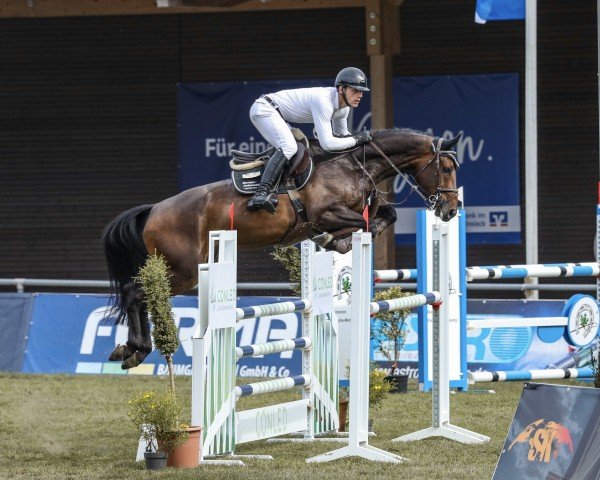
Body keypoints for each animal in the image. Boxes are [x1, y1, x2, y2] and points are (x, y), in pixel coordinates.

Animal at [103, 127, 462, 368]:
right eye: (446, 168)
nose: (450, 211)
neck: (353, 166)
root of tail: (154, 210)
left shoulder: (359, 210)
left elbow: (384, 216)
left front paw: (337, 240)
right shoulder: (324, 213)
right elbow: (358, 225)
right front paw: (335, 240)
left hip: (179, 269)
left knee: (141, 294)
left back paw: (133, 350)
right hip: (185, 270)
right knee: (137, 292)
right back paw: (133, 349)